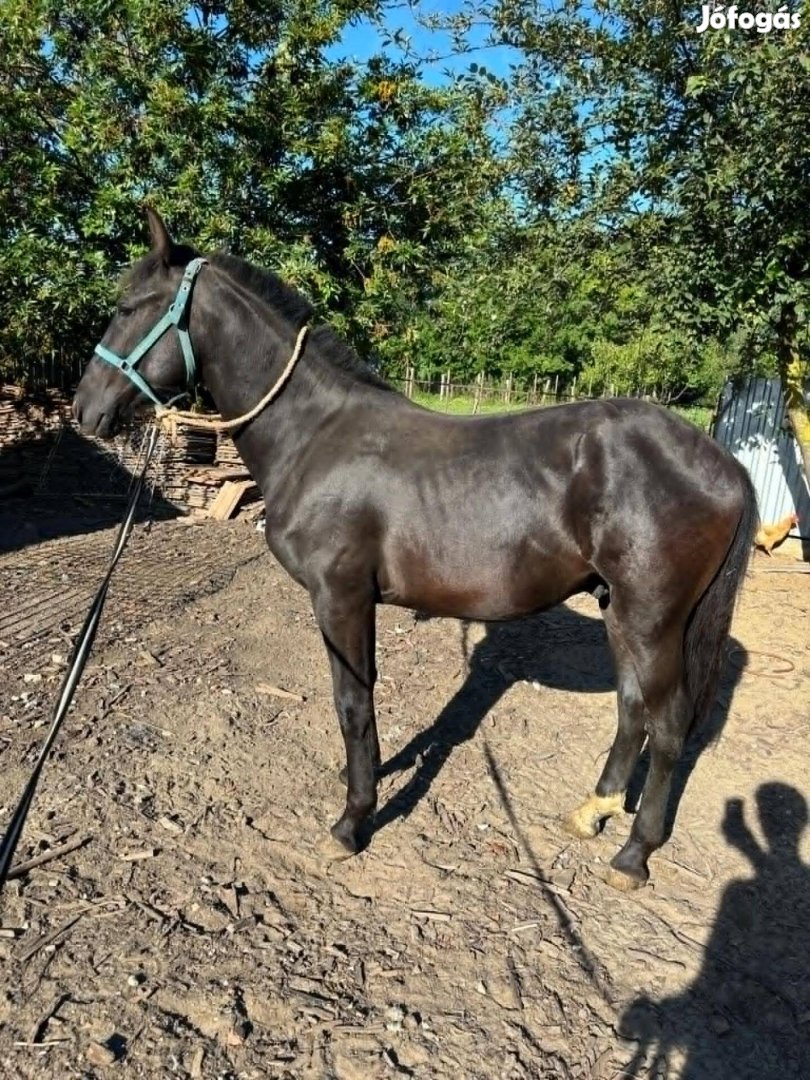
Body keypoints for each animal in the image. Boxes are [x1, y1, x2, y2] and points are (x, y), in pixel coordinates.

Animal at [72, 206, 760, 889]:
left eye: (128, 306)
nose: (85, 409)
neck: (315, 435)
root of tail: (723, 461)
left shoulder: (341, 597)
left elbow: (353, 702)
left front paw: (352, 821)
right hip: (619, 609)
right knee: (631, 708)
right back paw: (595, 811)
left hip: (653, 619)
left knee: (667, 726)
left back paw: (634, 853)